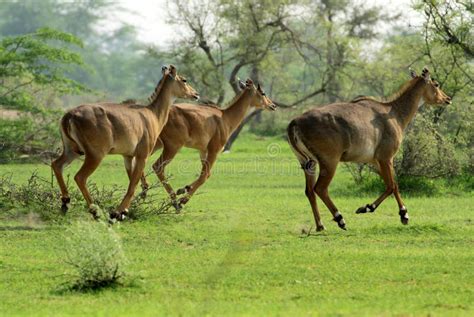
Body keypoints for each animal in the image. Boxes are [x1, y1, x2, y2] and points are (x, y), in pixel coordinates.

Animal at [51, 65, 199, 218]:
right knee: (79, 177)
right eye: (184, 79)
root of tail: (69, 115)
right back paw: (95, 211)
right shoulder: (142, 156)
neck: (152, 114)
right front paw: (118, 212)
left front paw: (124, 211)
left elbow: (131, 182)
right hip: (95, 155)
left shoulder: (127, 156)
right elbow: (133, 184)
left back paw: (65, 202)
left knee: (56, 165)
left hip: (72, 151)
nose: (196, 94)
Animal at [139, 78, 276, 209]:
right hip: (173, 146)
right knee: (157, 166)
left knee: (142, 160)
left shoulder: (203, 151)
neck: (225, 117)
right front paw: (183, 200)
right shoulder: (214, 150)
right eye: (262, 93)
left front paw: (184, 189)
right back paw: (175, 202)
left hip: (157, 143)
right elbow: (205, 175)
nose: (273, 105)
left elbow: (205, 174)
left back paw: (144, 191)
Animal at [286, 68, 450, 230]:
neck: (393, 113)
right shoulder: (386, 158)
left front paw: (403, 215)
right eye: (436, 84)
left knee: (309, 191)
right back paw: (340, 219)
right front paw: (368, 208)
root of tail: (295, 122)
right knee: (320, 188)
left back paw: (320, 225)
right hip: (330, 161)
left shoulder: (375, 161)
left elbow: (394, 185)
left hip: (308, 163)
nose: (447, 99)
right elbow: (391, 186)